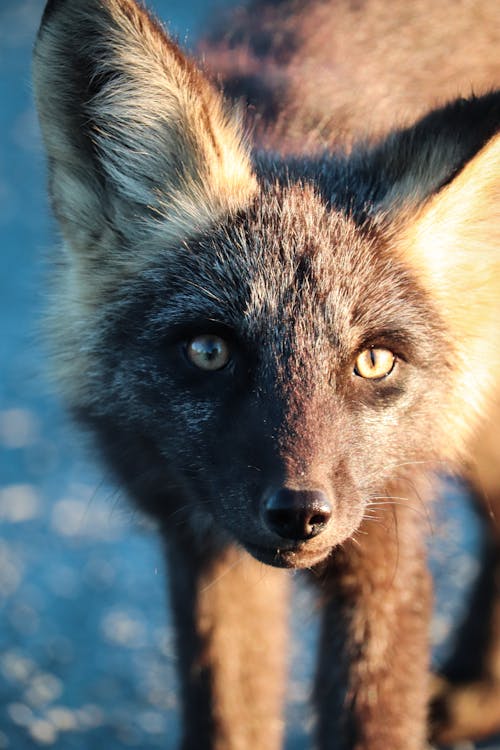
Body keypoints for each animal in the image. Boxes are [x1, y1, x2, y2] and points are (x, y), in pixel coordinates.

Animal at [32, 1, 500, 750]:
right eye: (210, 351)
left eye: (373, 360)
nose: (300, 514)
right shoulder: (201, 542)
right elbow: (228, 717)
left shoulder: (385, 541)